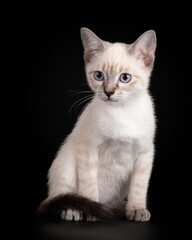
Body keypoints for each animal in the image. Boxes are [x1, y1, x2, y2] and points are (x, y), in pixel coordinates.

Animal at [37, 27, 156, 221]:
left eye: (125, 78)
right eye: (99, 76)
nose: (108, 92)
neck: (121, 113)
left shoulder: (144, 152)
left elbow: (139, 187)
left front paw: (137, 209)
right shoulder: (88, 149)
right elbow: (89, 186)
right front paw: (91, 212)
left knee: (110, 204)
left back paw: (116, 209)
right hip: (66, 164)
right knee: (64, 195)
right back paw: (75, 211)